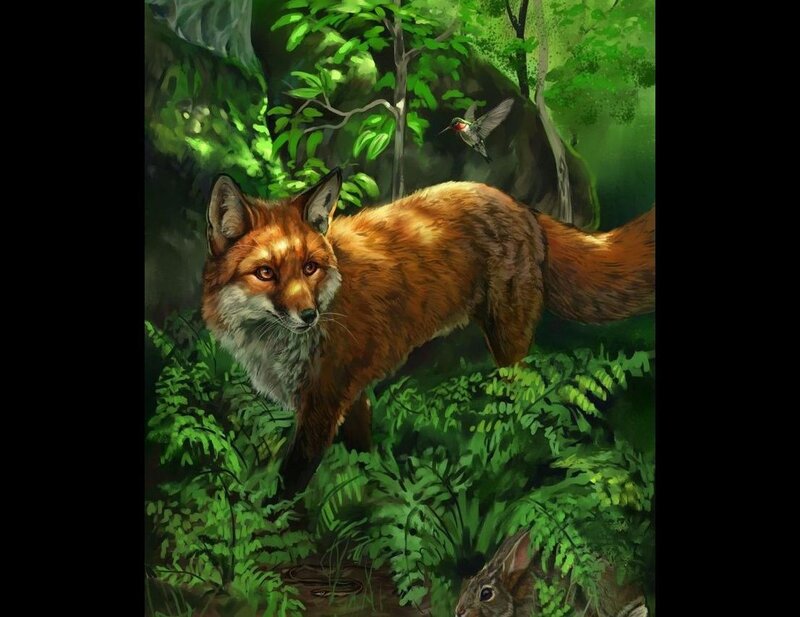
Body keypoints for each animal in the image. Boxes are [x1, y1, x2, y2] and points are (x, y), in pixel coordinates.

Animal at [201, 168, 655, 495]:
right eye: (266, 273)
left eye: (310, 267)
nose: (309, 315)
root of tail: (520, 205)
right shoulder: (351, 398)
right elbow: (362, 457)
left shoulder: (323, 405)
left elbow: (289, 487)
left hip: (508, 344)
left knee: (524, 402)